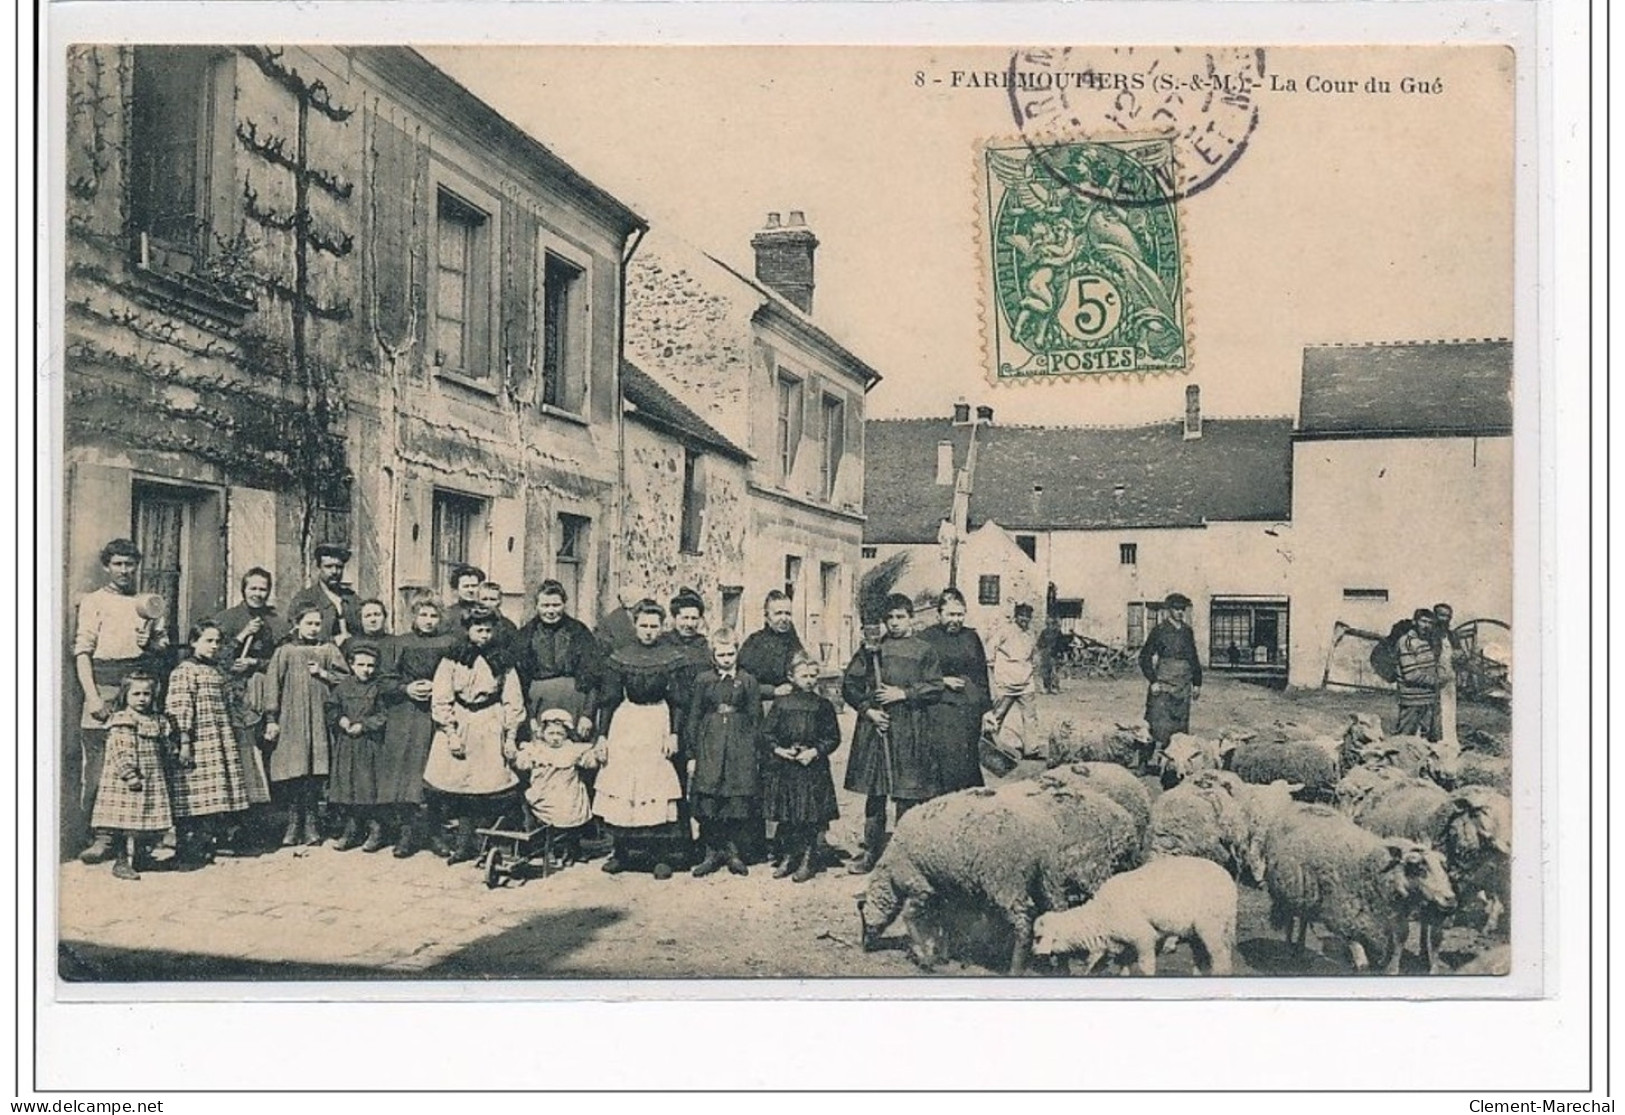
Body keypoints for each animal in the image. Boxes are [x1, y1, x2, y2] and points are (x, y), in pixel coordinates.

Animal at [1033, 858, 1235, 975]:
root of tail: (1228, 879)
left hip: (1211, 923)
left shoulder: (1143, 936)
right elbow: (1124, 966)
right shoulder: (1126, 942)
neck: (1101, 915)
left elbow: (1146, 967)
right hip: (1202, 929)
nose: (1034, 954)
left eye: (1038, 937)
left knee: (1221, 958)